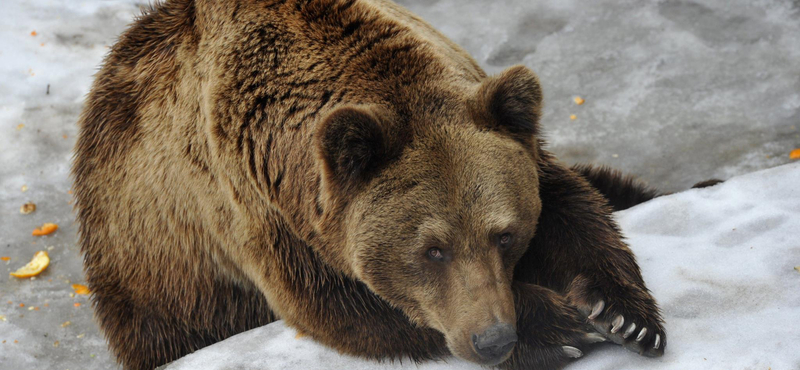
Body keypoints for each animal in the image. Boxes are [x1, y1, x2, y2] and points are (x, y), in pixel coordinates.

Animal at [73, 0, 664, 370]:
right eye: (432, 249)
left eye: (505, 234)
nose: (493, 338)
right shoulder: (260, 209)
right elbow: (351, 305)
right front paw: (560, 326)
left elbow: (574, 207)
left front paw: (622, 315)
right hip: (163, 283)